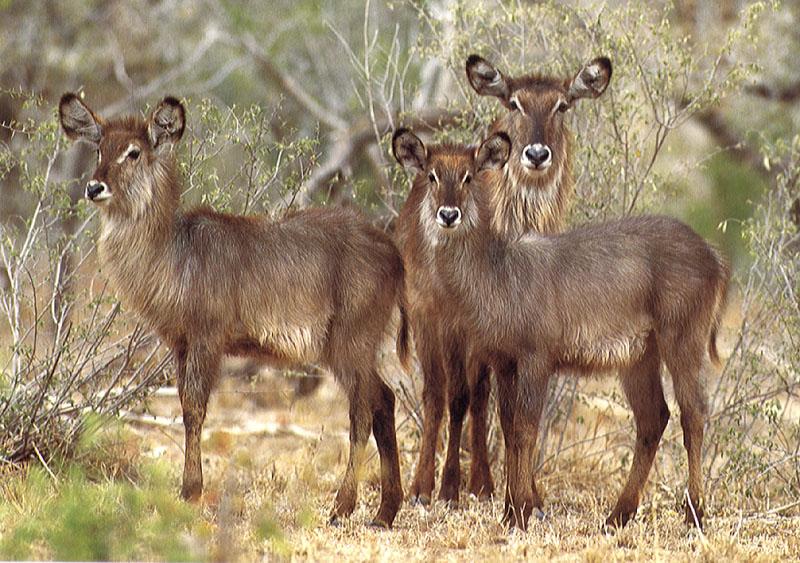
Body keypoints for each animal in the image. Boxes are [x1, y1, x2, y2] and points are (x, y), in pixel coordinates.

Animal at [61, 92, 412, 528]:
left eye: (134, 152)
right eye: (98, 148)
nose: (95, 187)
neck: (173, 253)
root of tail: (394, 253)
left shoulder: (207, 337)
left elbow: (195, 410)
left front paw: (190, 491)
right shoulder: (181, 344)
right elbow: (185, 406)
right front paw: (189, 489)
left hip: (350, 342)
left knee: (362, 412)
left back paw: (342, 507)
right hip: (357, 347)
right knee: (384, 402)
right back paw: (384, 512)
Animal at [394, 129, 732, 532]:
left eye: (468, 177)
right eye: (431, 176)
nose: (448, 214)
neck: (497, 275)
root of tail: (713, 256)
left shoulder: (536, 357)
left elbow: (526, 429)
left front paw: (520, 513)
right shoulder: (504, 361)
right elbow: (509, 429)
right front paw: (512, 510)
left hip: (681, 339)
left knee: (693, 413)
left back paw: (693, 514)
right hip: (639, 356)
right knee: (654, 417)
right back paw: (617, 515)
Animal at [400, 56, 612, 506]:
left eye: (562, 105)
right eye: (515, 103)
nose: (536, 154)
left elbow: (509, 409)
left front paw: (523, 492)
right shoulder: (459, 324)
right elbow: (463, 398)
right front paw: (449, 486)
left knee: (477, 397)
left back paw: (479, 481)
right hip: (426, 317)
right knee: (437, 394)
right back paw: (425, 486)